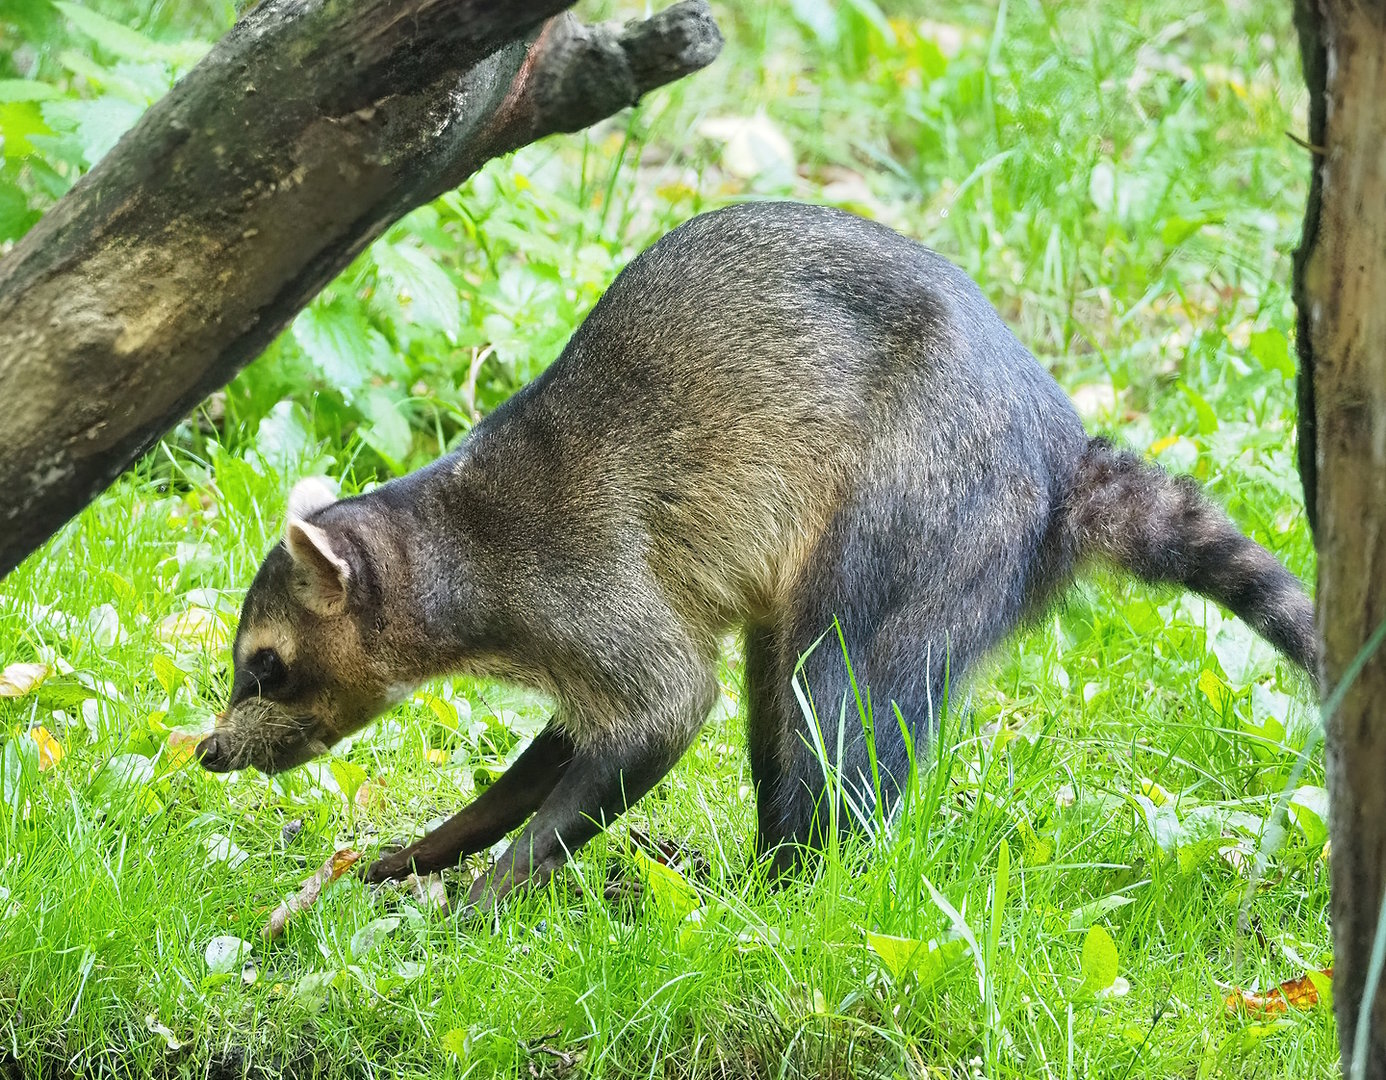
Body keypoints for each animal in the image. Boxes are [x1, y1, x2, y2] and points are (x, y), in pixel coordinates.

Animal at [197, 201, 1317, 907]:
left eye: (265, 665)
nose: (206, 751)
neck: (449, 532)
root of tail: (1062, 451)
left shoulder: (584, 584)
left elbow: (666, 707)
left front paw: (495, 891)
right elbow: (563, 749)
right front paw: (439, 845)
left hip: (918, 516)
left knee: (836, 703)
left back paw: (797, 891)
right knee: (778, 710)